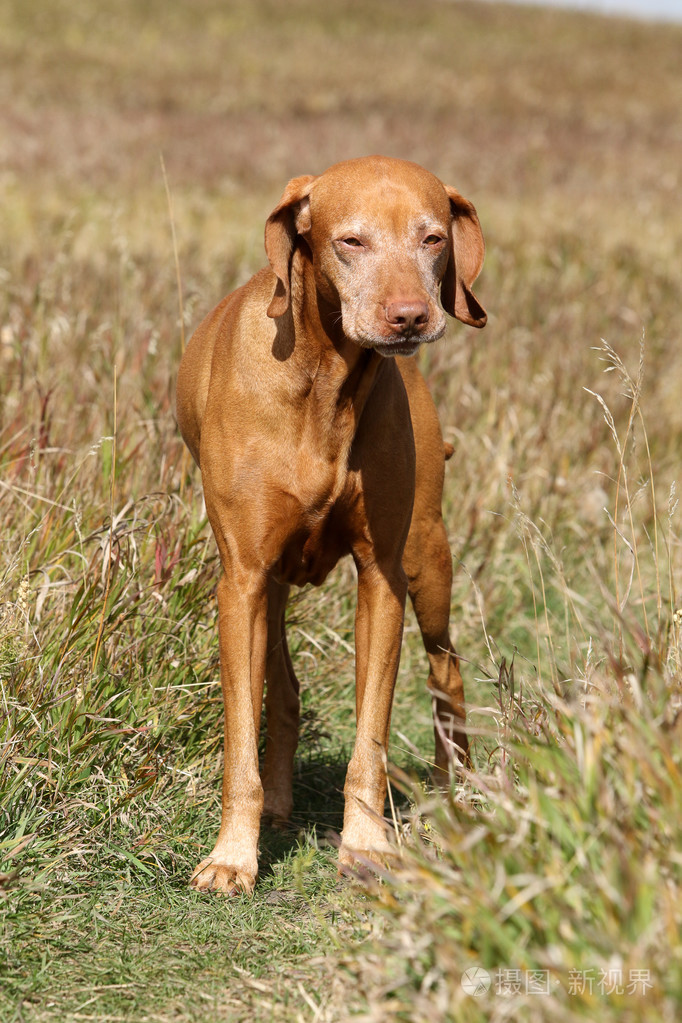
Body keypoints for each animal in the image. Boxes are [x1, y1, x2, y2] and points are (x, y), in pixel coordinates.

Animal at [175, 153, 484, 896]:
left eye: (433, 238)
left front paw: (367, 845)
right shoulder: (242, 579)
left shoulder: (382, 579)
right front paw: (233, 856)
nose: (410, 317)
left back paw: (454, 793)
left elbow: (370, 738)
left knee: (448, 670)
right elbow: (241, 740)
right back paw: (279, 807)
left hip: (427, 559)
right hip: (272, 584)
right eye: (351, 241)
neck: (326, 380)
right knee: (282, 691)